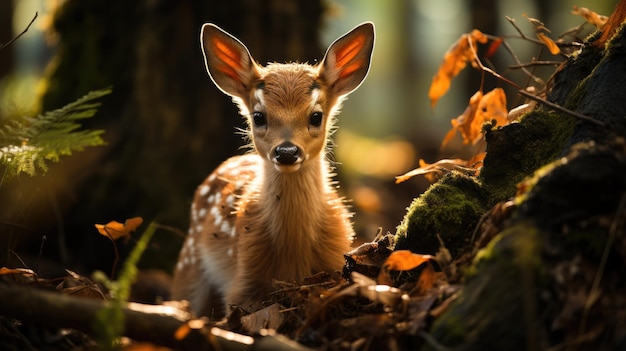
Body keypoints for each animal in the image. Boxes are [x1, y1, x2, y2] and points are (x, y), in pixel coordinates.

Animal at [171, 22, 372, 320]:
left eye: (316, 116)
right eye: (258, 117)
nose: (287, 152)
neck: (293, 252)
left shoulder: (335, 259)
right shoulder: (243, 277)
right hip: (190, 259)